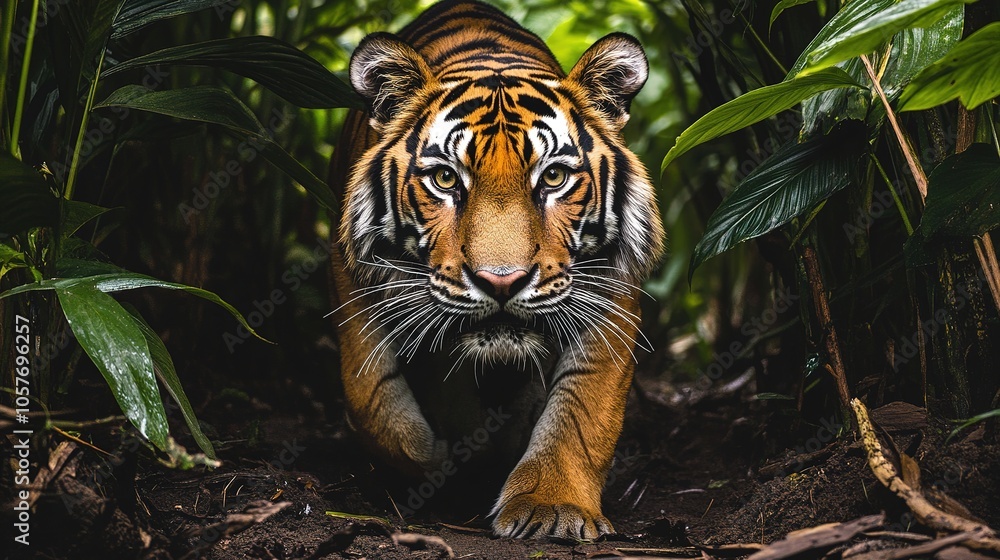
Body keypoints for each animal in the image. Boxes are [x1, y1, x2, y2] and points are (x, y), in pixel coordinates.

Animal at [327, 0, 664, 540]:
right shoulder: (350, 272)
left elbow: (585, 408)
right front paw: (441, 462)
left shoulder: (612, 286)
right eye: (446, 179)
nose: (501, 281)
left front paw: (551, 507)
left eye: (554, 177)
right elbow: (372, 397)